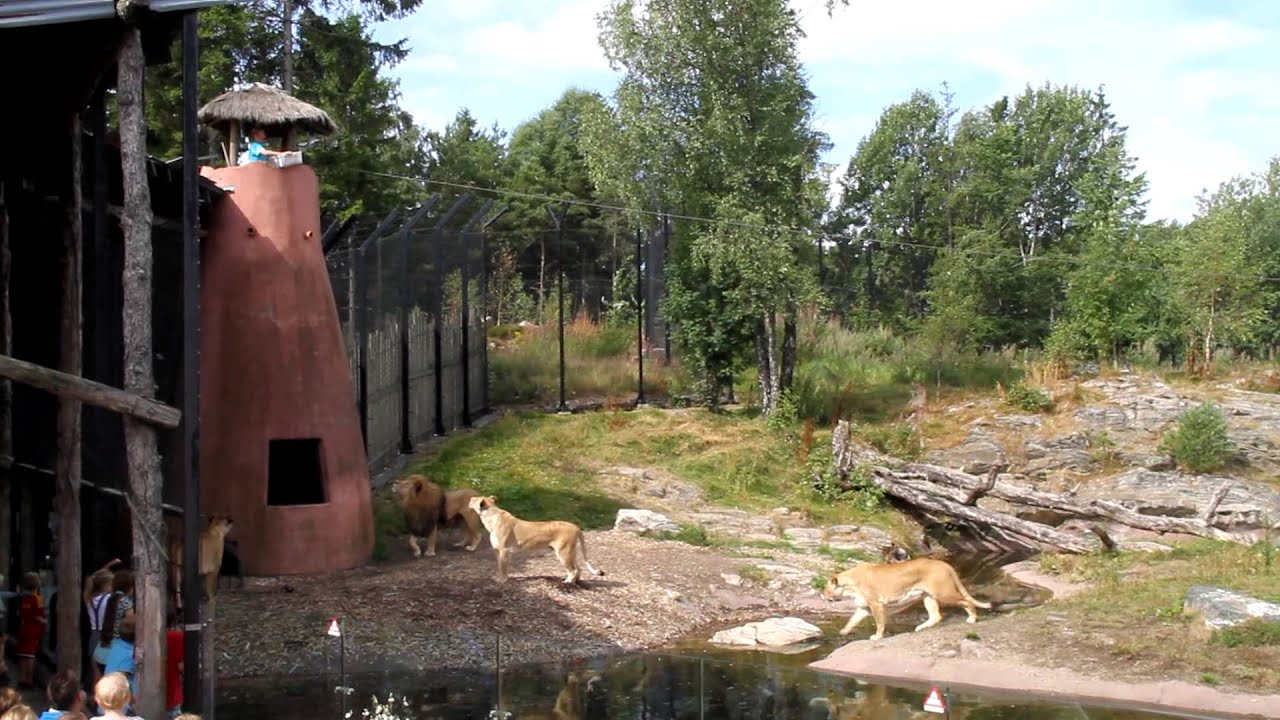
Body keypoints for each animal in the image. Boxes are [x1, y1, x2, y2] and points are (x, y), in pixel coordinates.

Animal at [467, 495, 605, 585]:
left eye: (473, 499)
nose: (469, 499)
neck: (490, 518)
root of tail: (575, 526)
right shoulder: (497, 550)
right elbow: (499, 565)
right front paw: (498, 577)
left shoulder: (504, 550)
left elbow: (503, 567)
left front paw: (502, 580)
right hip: (571, 552)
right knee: (578, 568)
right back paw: (577, 582)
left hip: (563, 553)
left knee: (573, 570)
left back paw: (567, 583)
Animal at [821, 556, 990, 641]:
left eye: (824, 588)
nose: (821, 594)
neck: (849, 586)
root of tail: (945, 564)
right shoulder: (864, 607)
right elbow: (852, 621)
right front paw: (843, 632)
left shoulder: (876, 604)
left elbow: (879, 622)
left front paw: (877, 637)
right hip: (927, 596)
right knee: (936, 615)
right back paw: (920, 628)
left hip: (943, 593)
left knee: (967, 602)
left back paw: (972, 619)